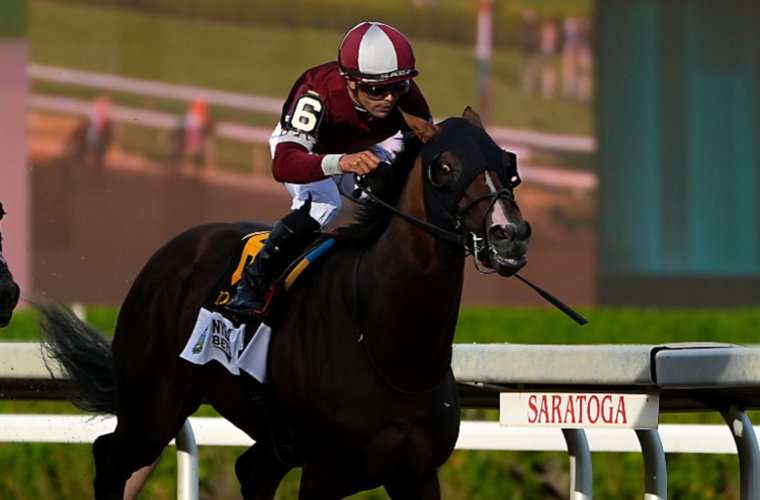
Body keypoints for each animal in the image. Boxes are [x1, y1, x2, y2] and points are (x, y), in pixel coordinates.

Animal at [40, 107, 528, 498]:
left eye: (508, 162)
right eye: (443, 167)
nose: (510, 234)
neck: (384, 343)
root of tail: (169, 252)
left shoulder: (417, 473)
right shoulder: (325, 472)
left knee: (250, 470)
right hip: (151, 404)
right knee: (111, 457)